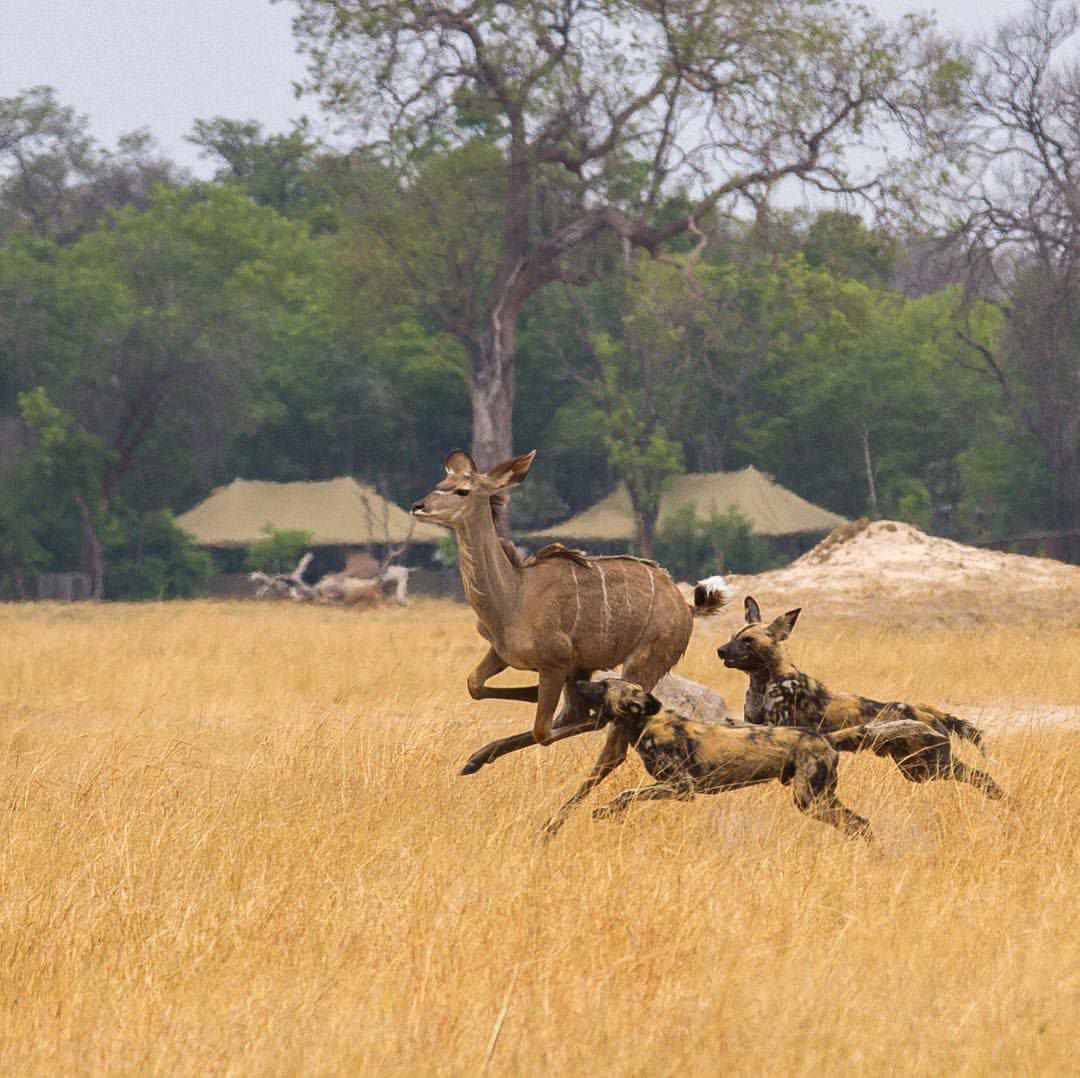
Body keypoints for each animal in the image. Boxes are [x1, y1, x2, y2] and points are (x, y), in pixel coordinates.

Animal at [408, 451, 730, 782]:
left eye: (462, 490)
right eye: (441, 482)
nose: (418, 506)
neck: (514, 597)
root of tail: (688, 607)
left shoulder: (556, 664)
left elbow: (543, 731)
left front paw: (533, 696)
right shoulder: (504, 653)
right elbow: (474, 685)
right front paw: (479, 753)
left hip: (642, 664)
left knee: (610, 744)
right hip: (588, 669)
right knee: (585, 719)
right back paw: (476, 760)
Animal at [540, 674, 876, 842]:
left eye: (602, 685)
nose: (576, 681)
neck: (647, 722)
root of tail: (826, 738)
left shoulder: (681, 788)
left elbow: (627, 793)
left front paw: (608, 811)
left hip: (810, 800)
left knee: (856, 823)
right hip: (820, 799)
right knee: (861, 824)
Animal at [717, 600, 1002, 803]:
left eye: (748, 640)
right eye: (733, 636)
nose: (720, 650)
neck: (763, 682)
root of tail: (926, 710)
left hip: (932, 766)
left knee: (983, 776)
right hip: (919, 771)